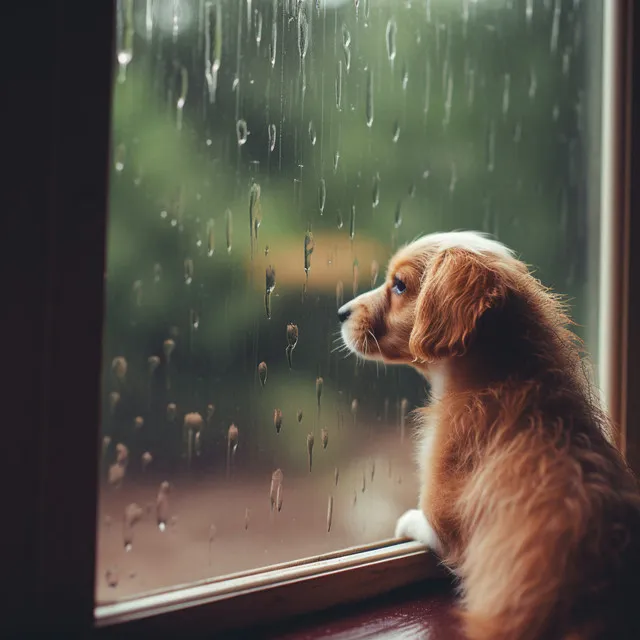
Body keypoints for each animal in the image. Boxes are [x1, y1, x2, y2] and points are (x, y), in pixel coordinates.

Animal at [340, 231, 640, 640]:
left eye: (399, 285)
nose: (340, 313)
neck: (506, 378)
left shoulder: (445, 521)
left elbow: (422, 523)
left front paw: (404, 521)